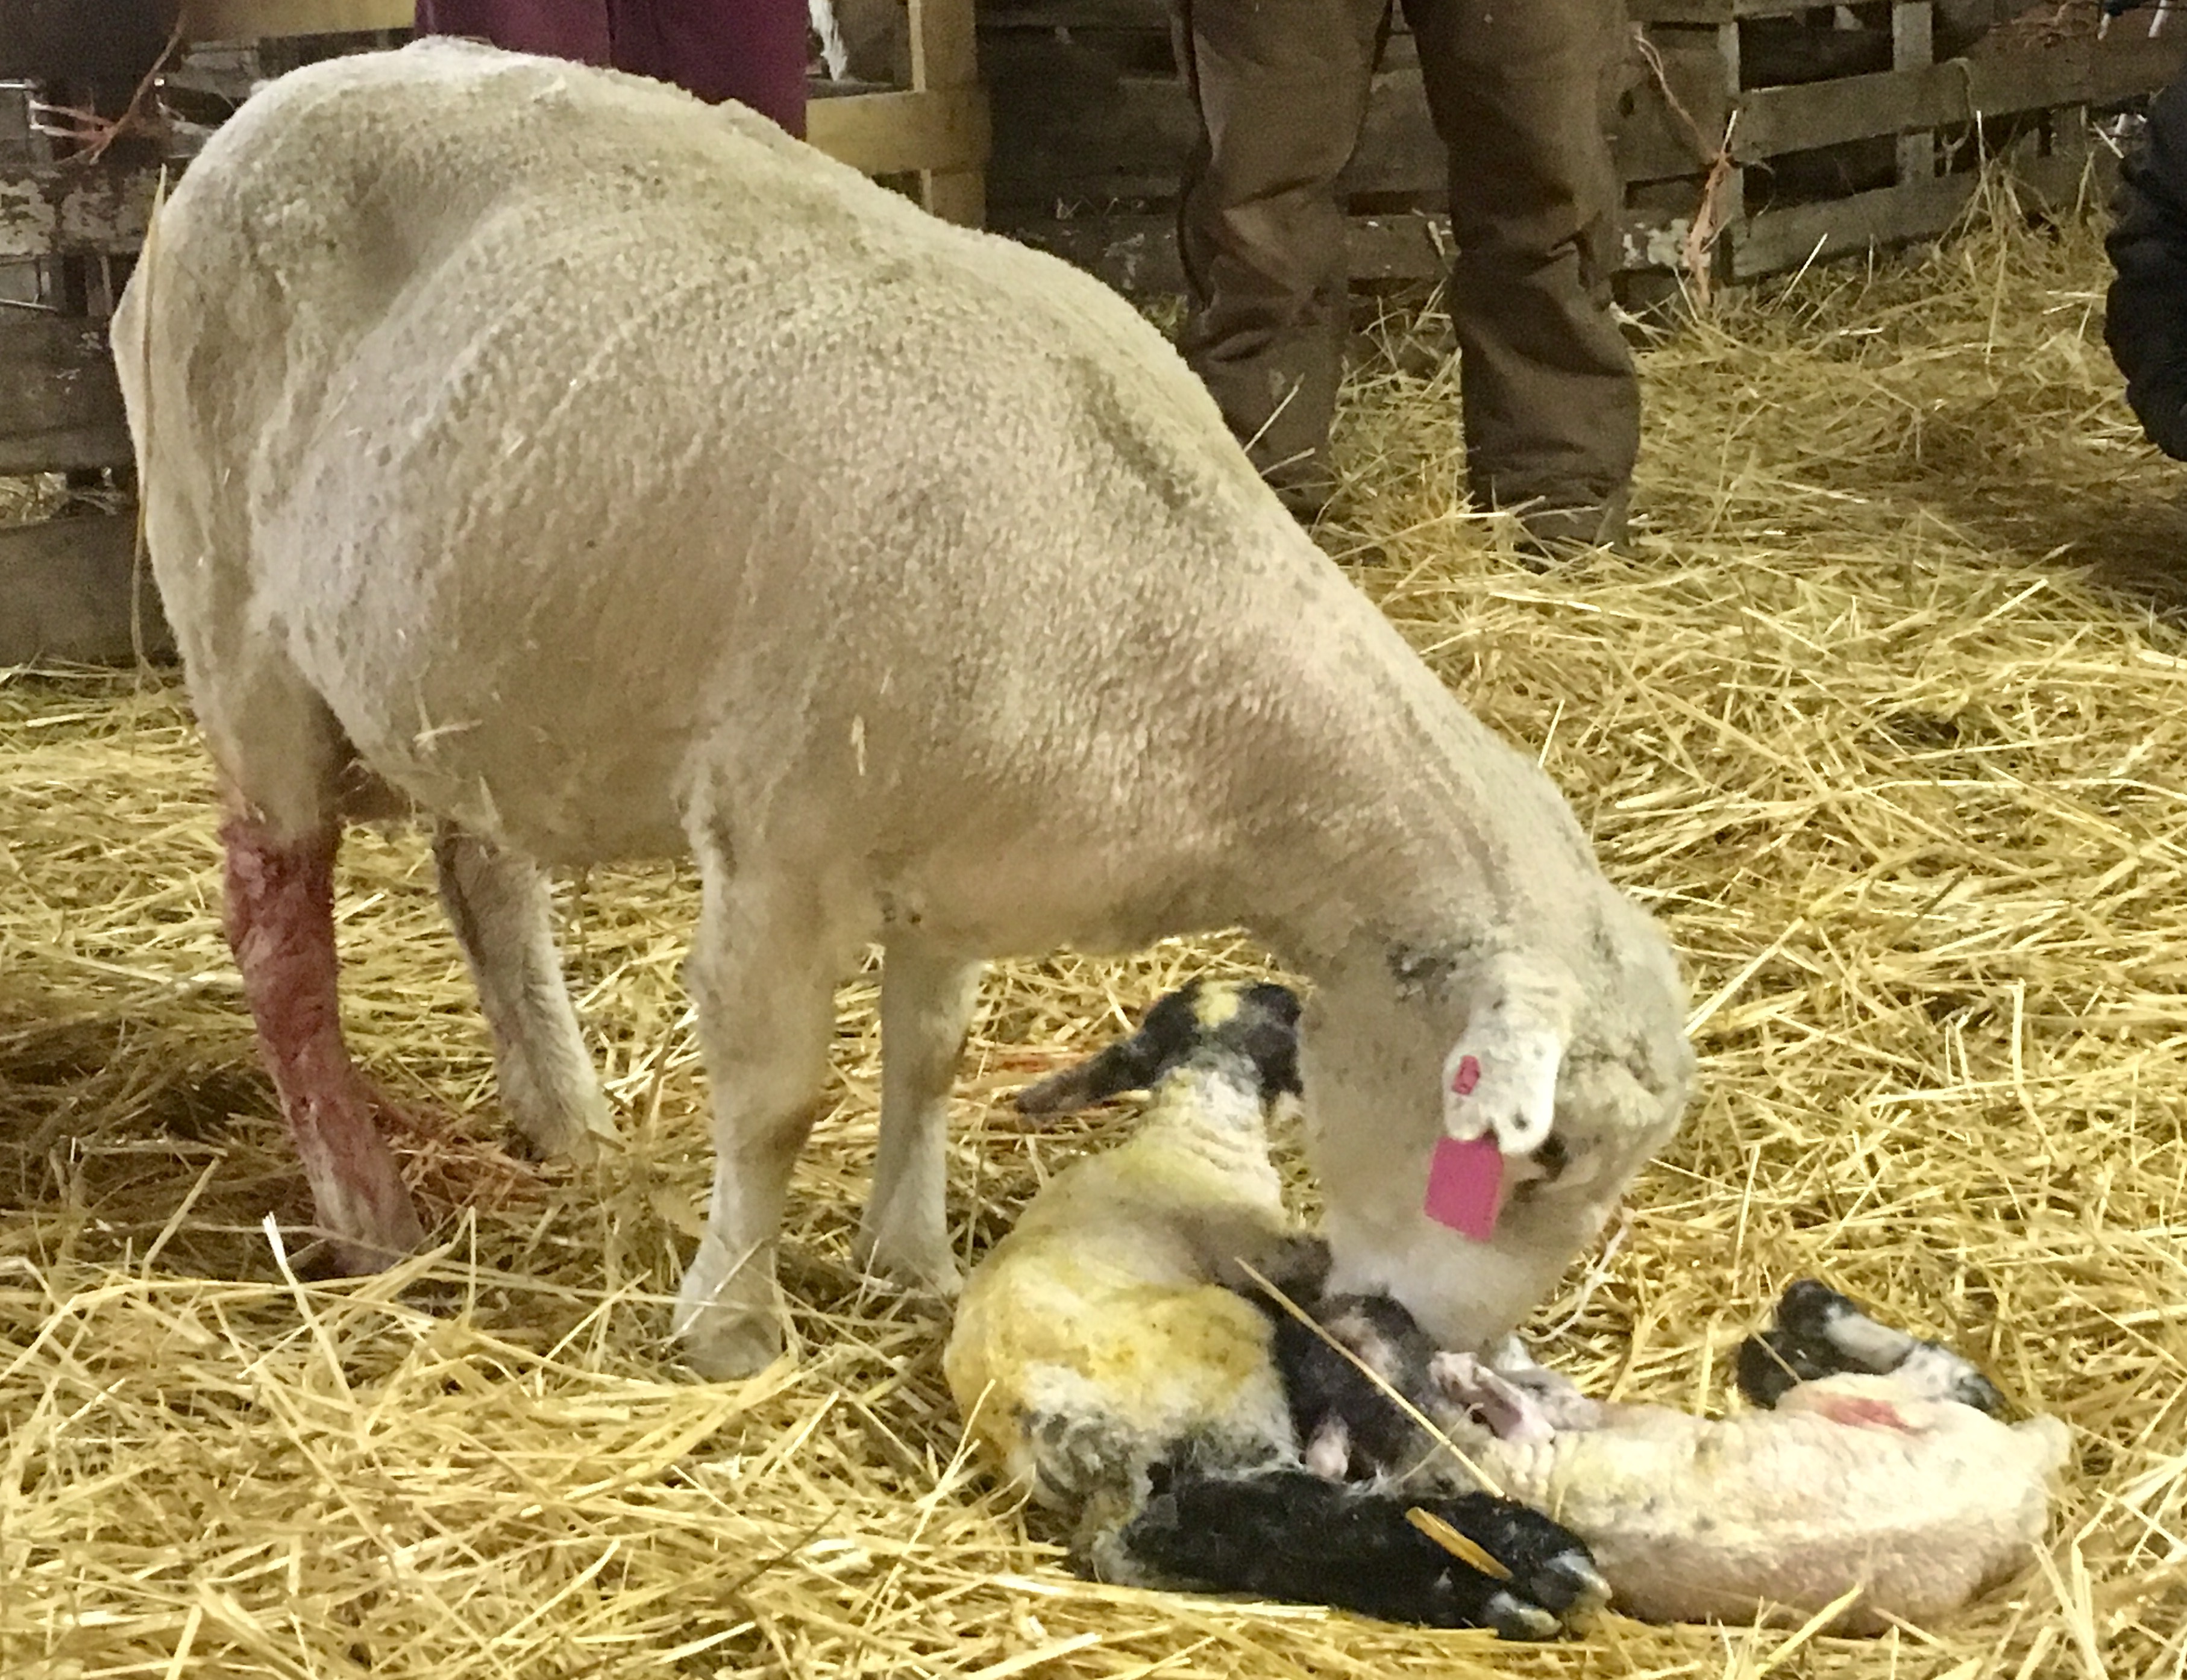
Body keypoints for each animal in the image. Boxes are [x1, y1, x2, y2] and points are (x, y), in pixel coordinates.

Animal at [115, 39, 1688, 1382]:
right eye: (1536, 1154)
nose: (1433, 1365)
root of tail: (275, 96)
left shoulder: (959, 860)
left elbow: (927, 1056)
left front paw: (910, 1260)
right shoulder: (780, 844)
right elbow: (773, 1097)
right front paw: (731, 1326)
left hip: (459, 653)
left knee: (485, 870)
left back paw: (562, 1116)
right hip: (235, 621)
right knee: (276, 932)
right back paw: (365, 1209)